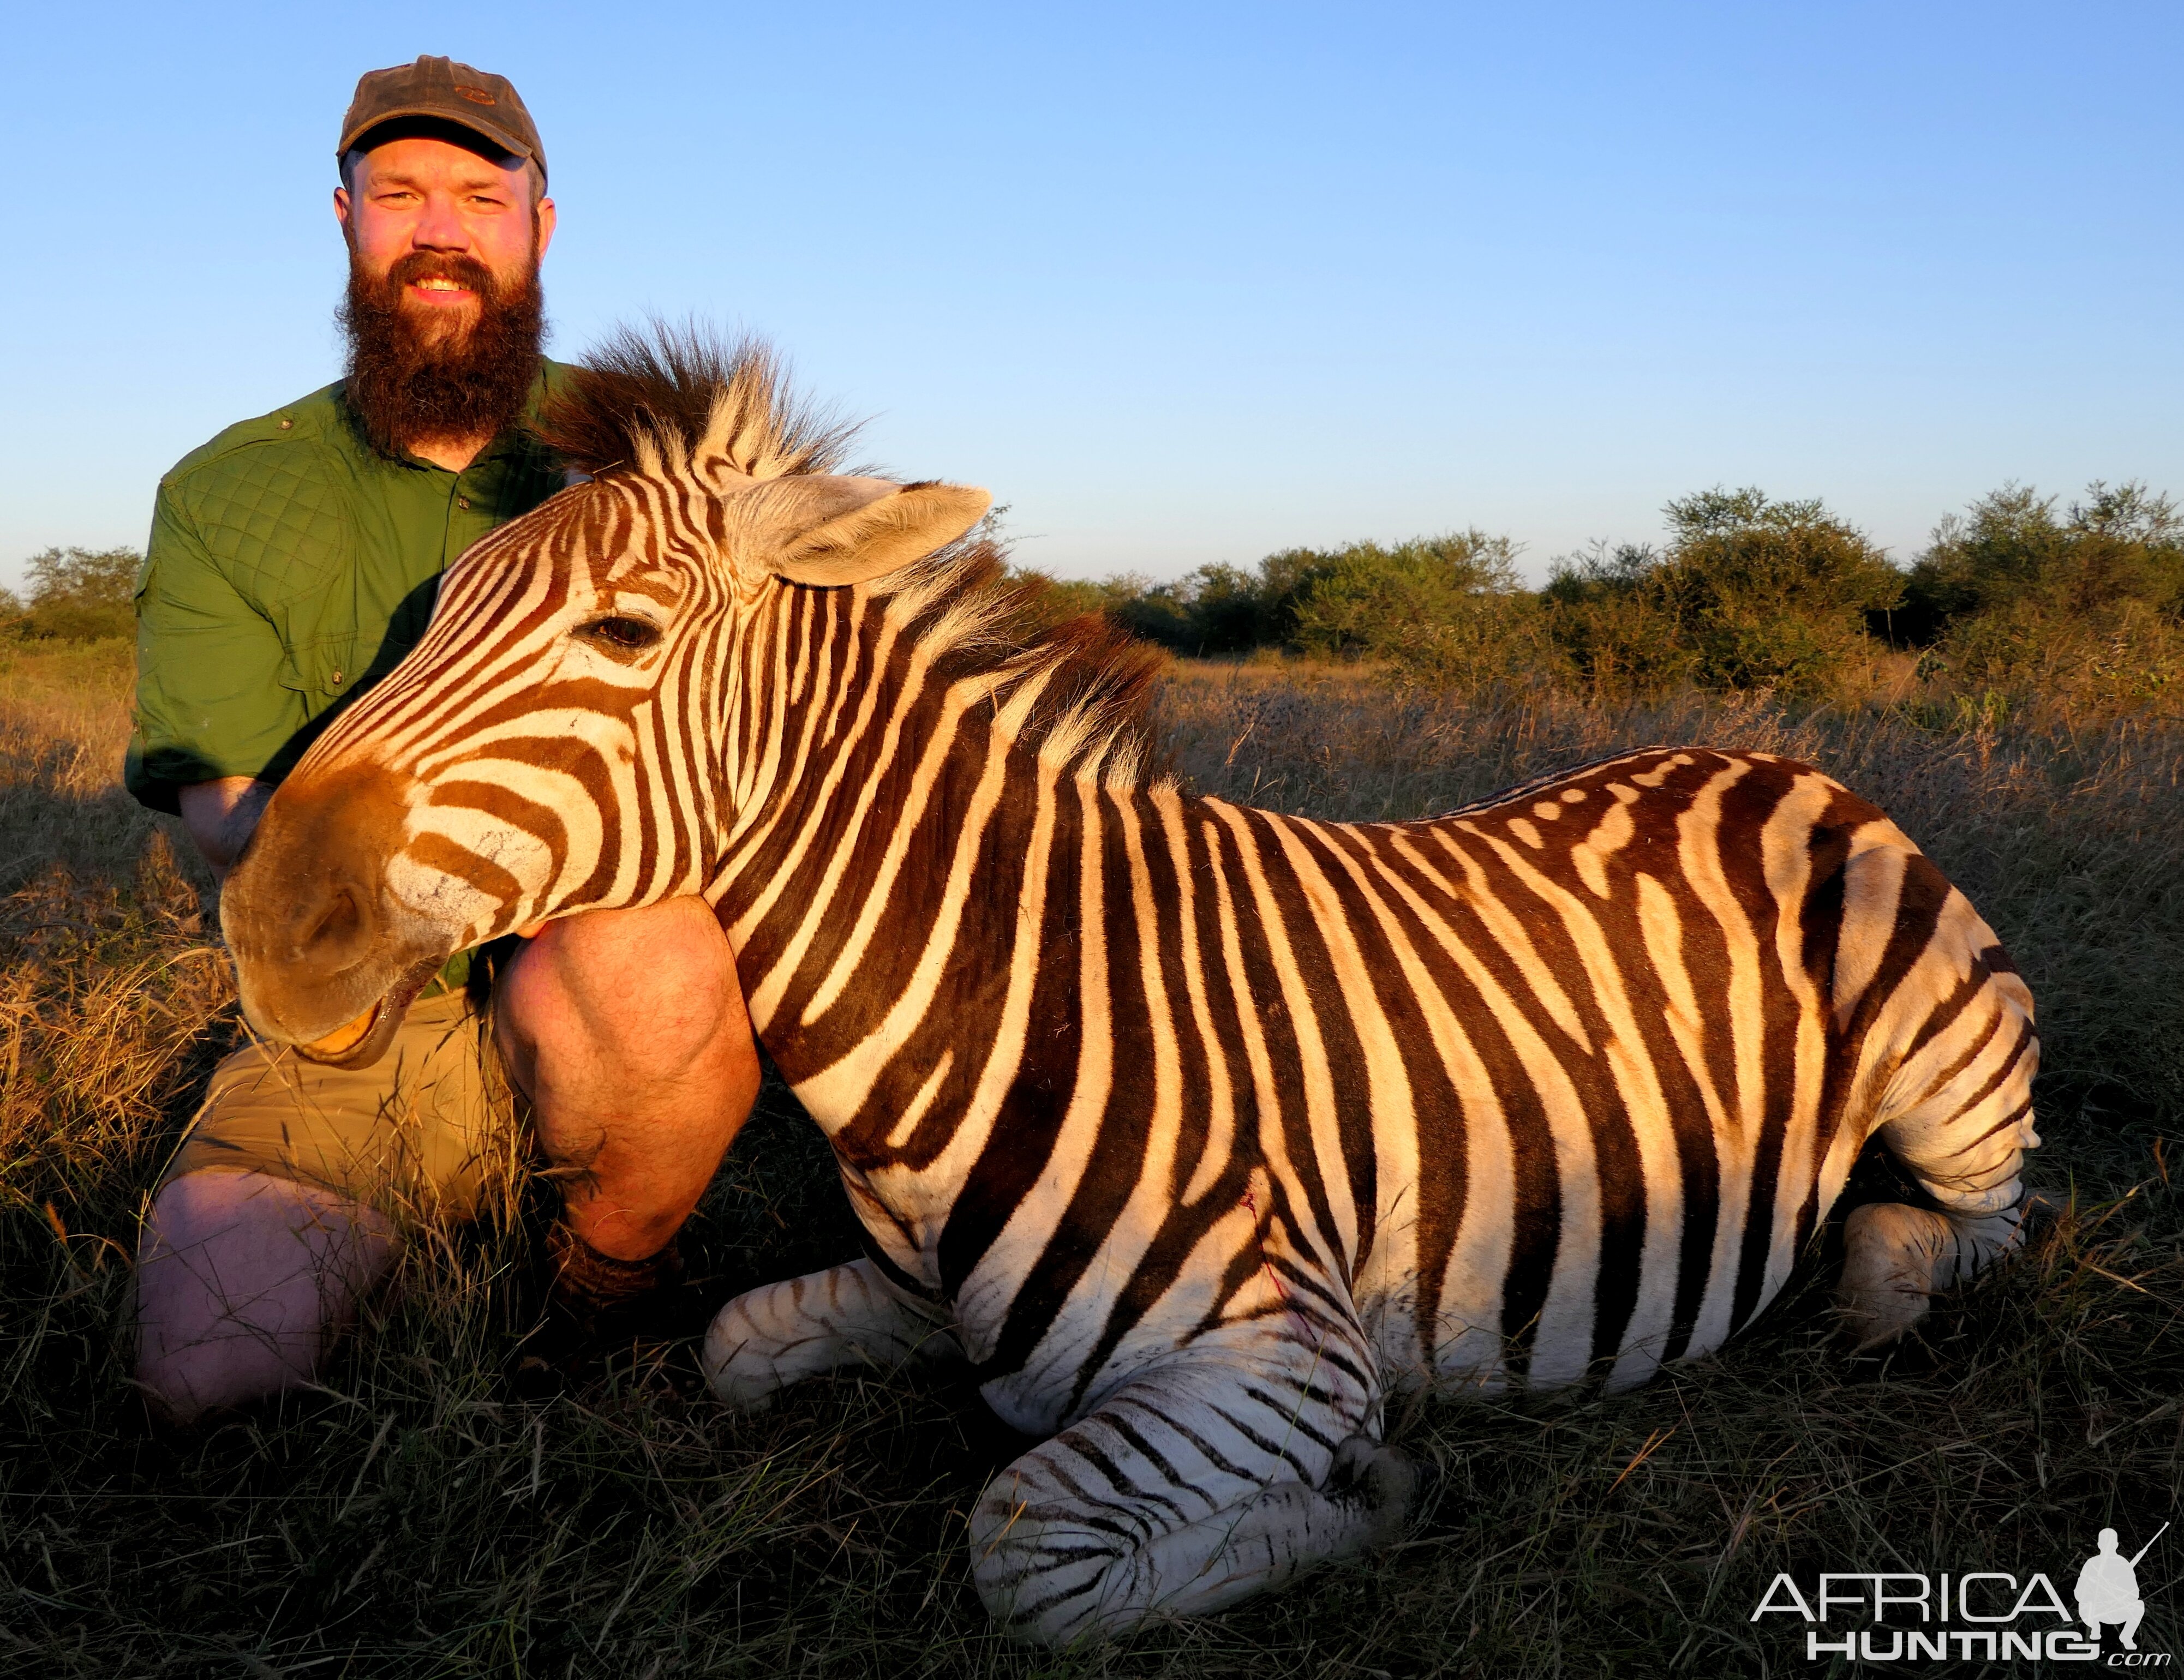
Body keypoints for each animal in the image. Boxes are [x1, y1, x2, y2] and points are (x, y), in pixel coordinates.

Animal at [222, 334, 2026, 1642]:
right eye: (432, 612)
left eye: (619, 632)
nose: (257, 915)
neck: (996, 1009)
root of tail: (1770, 757)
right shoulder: (904, 1292)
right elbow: (733, 1342)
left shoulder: (1284, 1354)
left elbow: (1022, 1544)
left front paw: (1373, 1494)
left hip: (1952, 1083)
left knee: (1963, 1230)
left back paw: (1869, 1281)